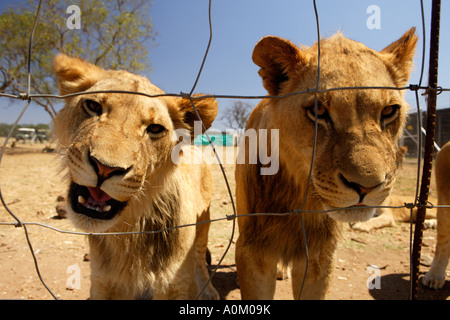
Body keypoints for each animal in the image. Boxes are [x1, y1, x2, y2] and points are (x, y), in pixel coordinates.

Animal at [52, 53, 220, 300]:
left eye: (155, 129)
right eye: (93, 106)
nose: (104, 168)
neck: (128, 231)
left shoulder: (174, 283)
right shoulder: (103, 282)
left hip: (204, 220)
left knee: (199, 256)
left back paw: (208, 290)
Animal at [237, 28, 416, 298]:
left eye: (388, 111)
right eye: (318, 111)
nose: (366, 186)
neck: (299, 199)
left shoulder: (320, 255)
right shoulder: (252, 250)